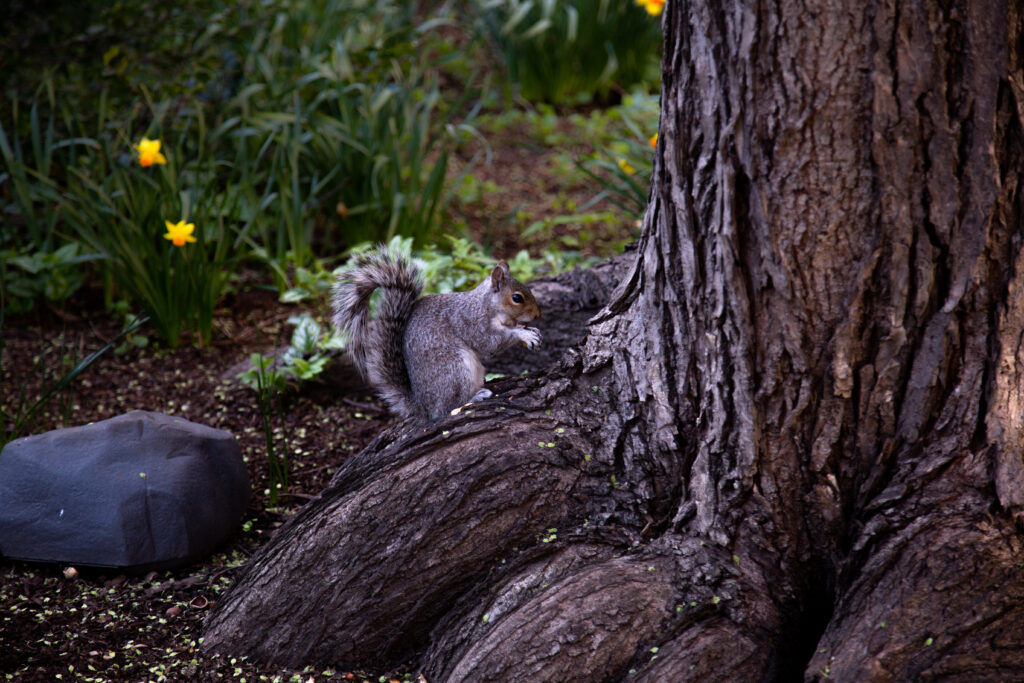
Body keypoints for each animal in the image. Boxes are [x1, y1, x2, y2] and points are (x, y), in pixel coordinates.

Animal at [331, 248, 542, 421]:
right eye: (517, 298)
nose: (537, 315)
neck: (486, 305)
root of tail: (422, 406)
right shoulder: (471, 323)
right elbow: (490, 344)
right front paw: (523, 334)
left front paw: (530, 330)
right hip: (454, 369)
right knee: (447, 409)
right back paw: (475, 397)